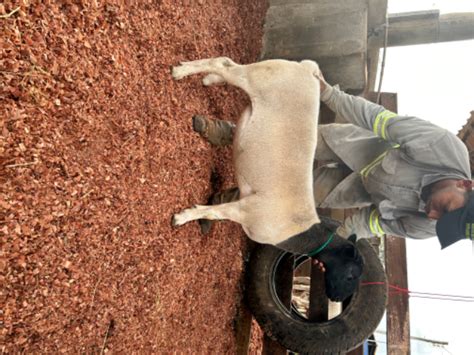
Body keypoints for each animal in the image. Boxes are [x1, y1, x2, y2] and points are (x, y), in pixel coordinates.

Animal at [170, 57, 362, 302]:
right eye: (351, 275)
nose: (337, 299)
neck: (299, 233)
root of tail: (306, 69)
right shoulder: (247, 211)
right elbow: (214, 212)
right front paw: (183, 217)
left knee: (225, 64)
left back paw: (209, 80)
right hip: (259, 77)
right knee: (224, 64)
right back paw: (181, 72)